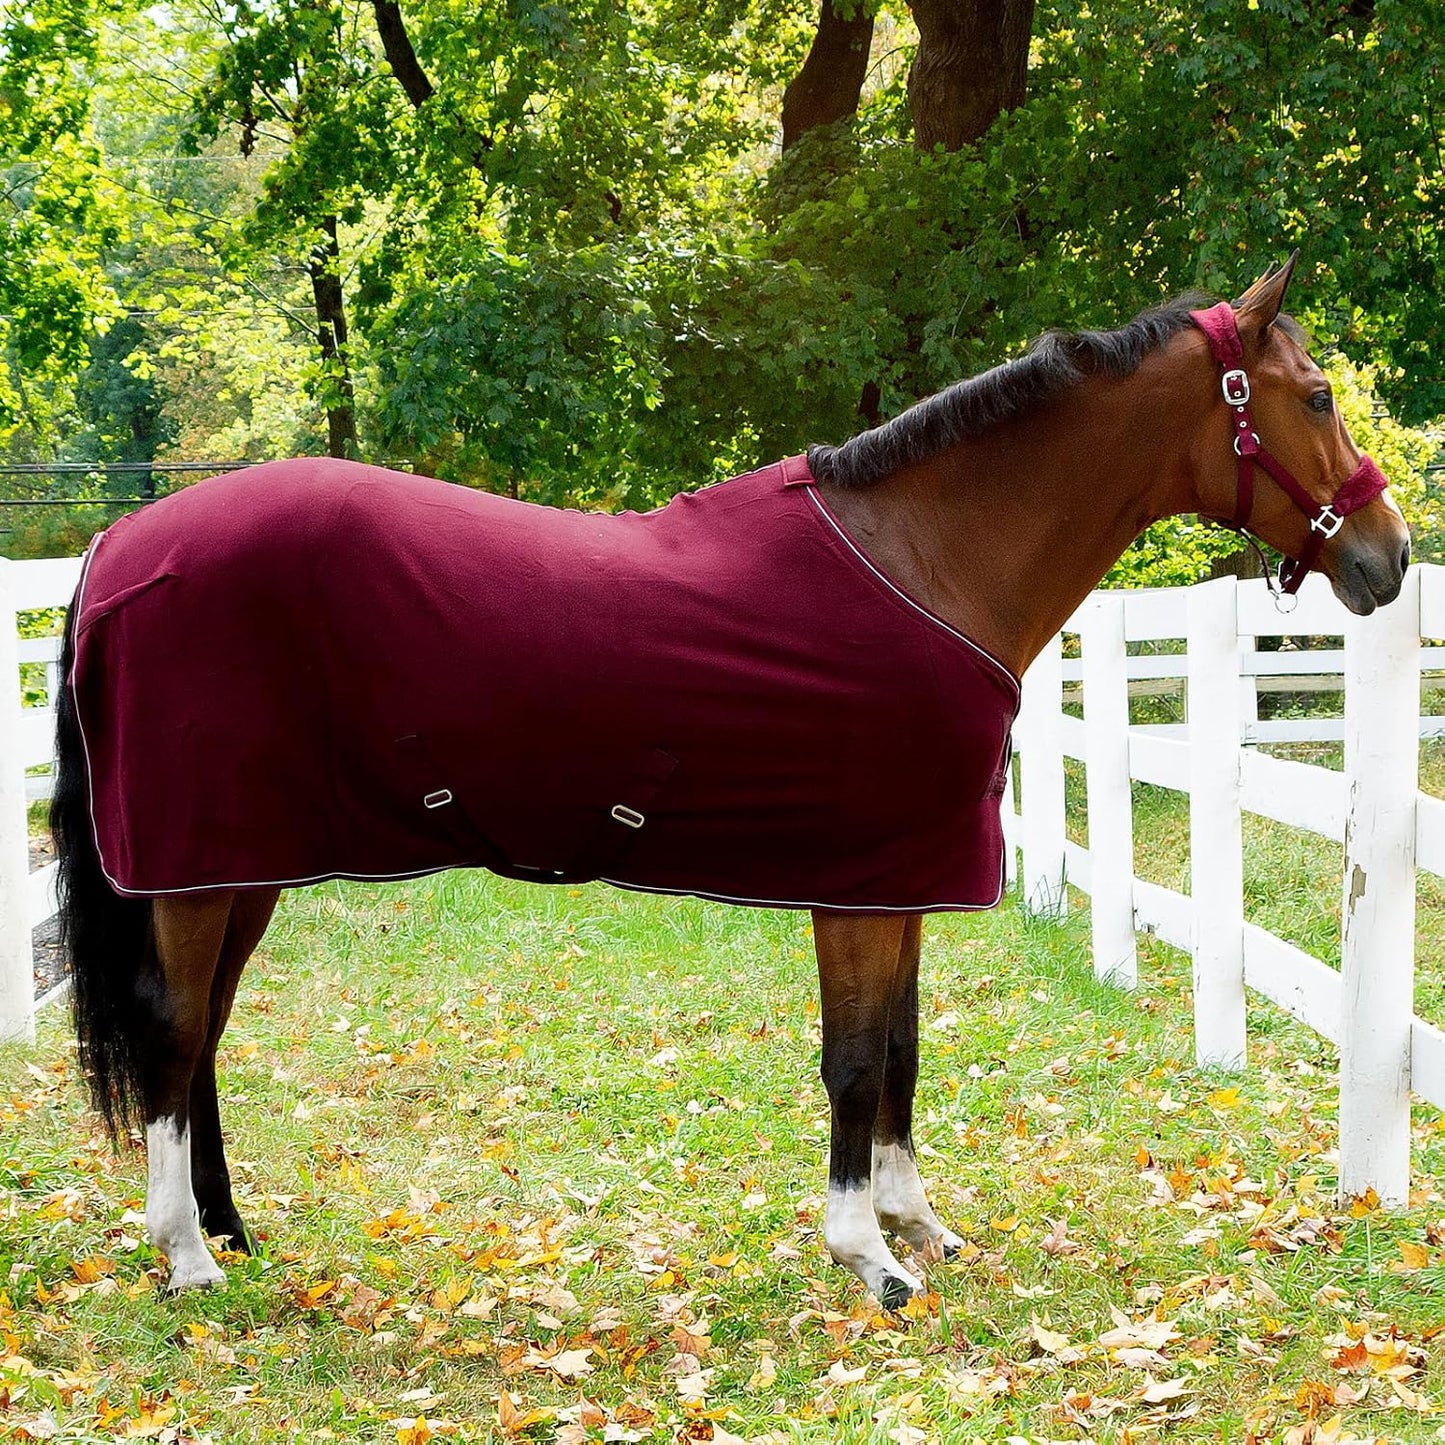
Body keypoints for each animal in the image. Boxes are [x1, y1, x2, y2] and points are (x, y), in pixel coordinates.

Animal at [51, 257, 1411, 1306]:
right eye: (1314, 395)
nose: (1387, 558)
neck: (925, 557)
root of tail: (122, 544)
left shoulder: (899, 879)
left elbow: (902, 1049)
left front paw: (914, 1221)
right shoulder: (857, 886)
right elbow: (855, 1059)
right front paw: (865, 1255)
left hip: (243, 862)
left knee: (204, 1032)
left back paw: (231, 1231)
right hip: (199, 865)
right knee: (174, 1031)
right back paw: (186, 1256)